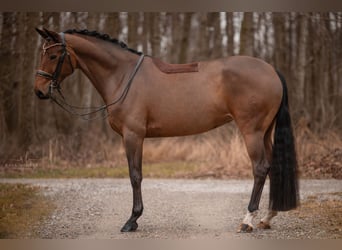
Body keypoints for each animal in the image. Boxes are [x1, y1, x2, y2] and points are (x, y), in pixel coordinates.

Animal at [33, 28, 298, 233]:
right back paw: (267, 217)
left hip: (251, 131)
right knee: (272, 166)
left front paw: (132, 220)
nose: (39, 91)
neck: (122, 75)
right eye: (43, 54)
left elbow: (135, 176)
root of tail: (271, 70)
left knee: (260, 169)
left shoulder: (133, 136)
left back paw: (248, 220)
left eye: (54, 55)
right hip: (265, 131)